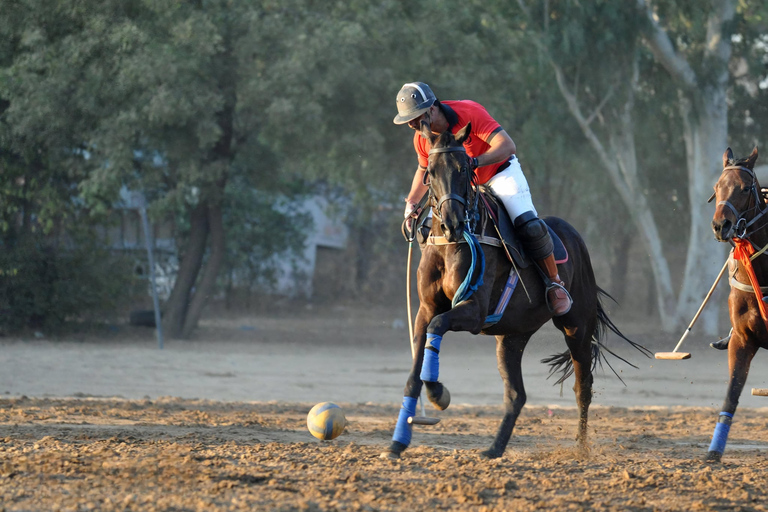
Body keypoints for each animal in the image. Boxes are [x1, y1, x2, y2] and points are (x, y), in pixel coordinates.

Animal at [384, 123, 648, 460]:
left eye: (464, 168)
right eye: (429, 172)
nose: (453, 224)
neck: (450, 244)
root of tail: (576, 237)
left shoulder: (473, 310)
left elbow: (438, 326)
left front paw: (439, 393)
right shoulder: (426, 309)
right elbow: (415, 370)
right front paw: (397, 442)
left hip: (577, 324)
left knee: (583, 385)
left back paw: (581, 448)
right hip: (512, 337)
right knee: (516, 395)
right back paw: (494, 449)